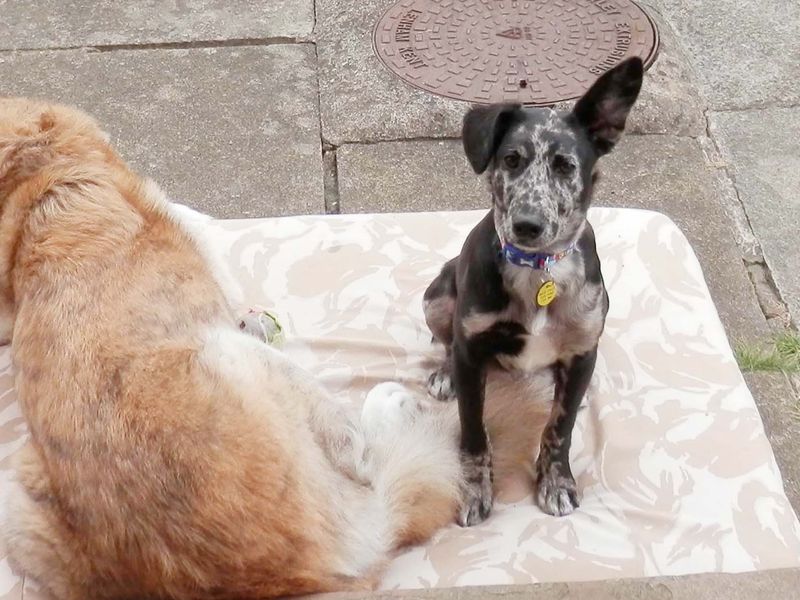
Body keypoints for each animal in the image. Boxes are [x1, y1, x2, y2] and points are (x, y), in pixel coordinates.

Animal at [424, 57, 644, 524]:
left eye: (565, 165)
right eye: (511, 159)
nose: (527, 225)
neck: (538, 270)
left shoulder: (583, 350)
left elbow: (560, 428)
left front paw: (556, 481)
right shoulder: (471, 348)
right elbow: (473, 431)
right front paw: (474, 490)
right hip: (436, 298)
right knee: (446, 341)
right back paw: (444, 373)